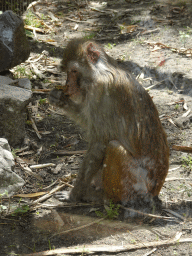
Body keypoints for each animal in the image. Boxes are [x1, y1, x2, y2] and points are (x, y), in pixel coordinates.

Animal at [48, 39, 169, 208]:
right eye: (67, 71)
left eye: (73, 71)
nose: (68, 84)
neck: (101, 71)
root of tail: (155, 191)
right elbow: (89, 122)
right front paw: (60, 100)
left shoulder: (100, 89)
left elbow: (99, 142)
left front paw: (73, 195)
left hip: (138, 187)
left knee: (114, 147)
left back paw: (105, 198)